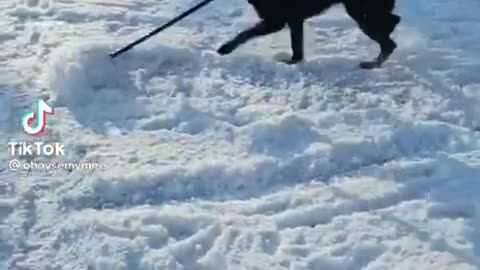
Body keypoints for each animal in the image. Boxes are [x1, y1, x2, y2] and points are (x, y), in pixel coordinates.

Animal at [218, 0, 402, 68]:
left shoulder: (278, 21)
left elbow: (244, 34)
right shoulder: (288, 20)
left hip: (361, 12)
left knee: (389, 41)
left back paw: (373, 63)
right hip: (363, 11)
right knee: (390, 26)